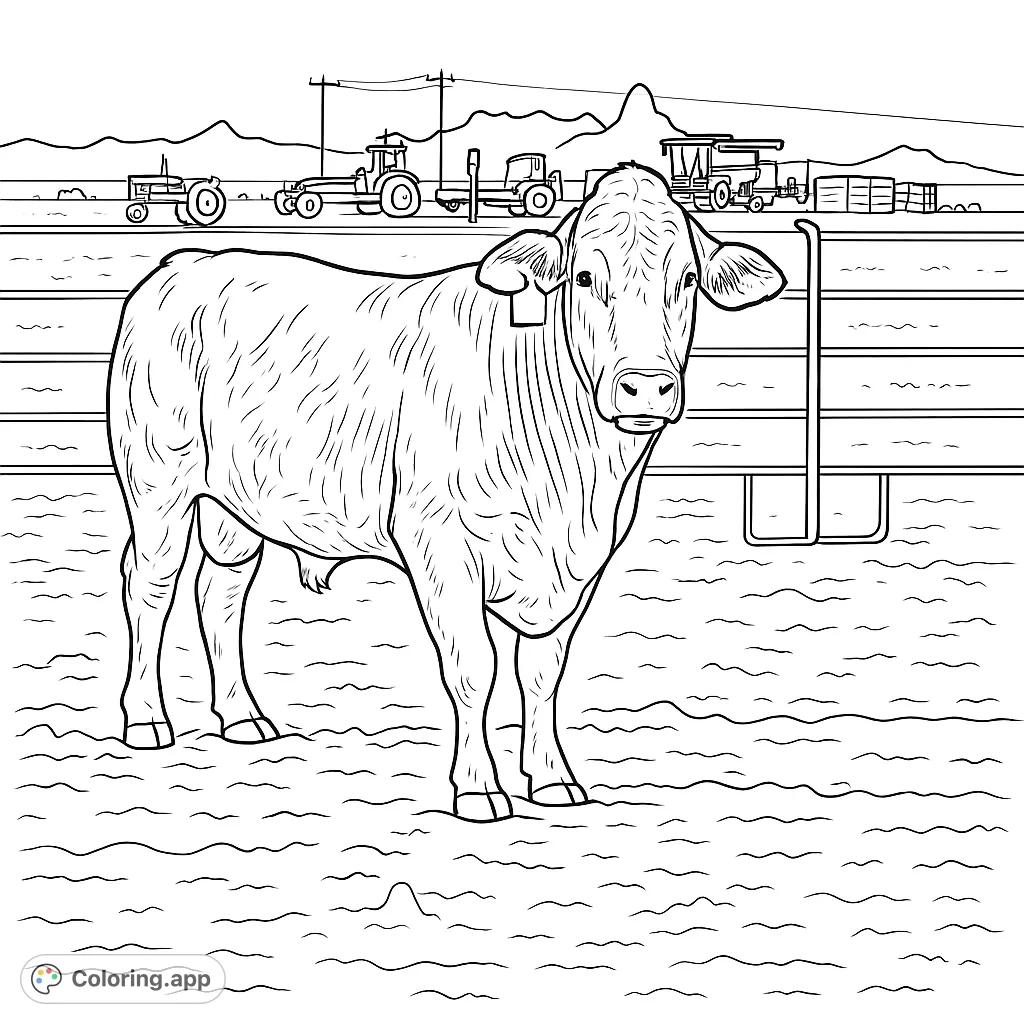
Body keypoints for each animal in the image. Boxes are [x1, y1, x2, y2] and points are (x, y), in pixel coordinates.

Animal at [108, 164, 785, 821]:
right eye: (585, 276)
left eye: (688, 278)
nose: (645, 388)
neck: (577, 483)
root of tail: (189, 261)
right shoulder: (441, 546)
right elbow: (472, 670)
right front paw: (479, 790)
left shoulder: (579, 570)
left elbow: (542, 675)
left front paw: (552, 779)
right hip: (159, 482)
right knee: (149, 587)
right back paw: (147, 718)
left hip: (236, 506)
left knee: (220, 592)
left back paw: (243, 717)